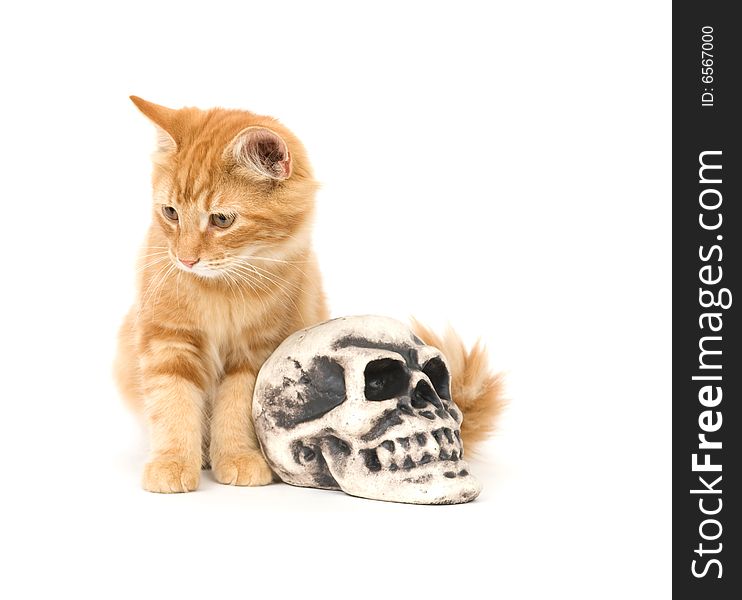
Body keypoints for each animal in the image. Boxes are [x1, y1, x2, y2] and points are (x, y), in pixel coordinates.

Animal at [114, 98, 328, 492]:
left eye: (222, 220)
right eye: (171, 213)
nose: (185, 259)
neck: (219, 289)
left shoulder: (254, 352)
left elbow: (236, 409)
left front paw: (238, 457)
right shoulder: (168, 340)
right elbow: (173, 403)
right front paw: (172, 461)